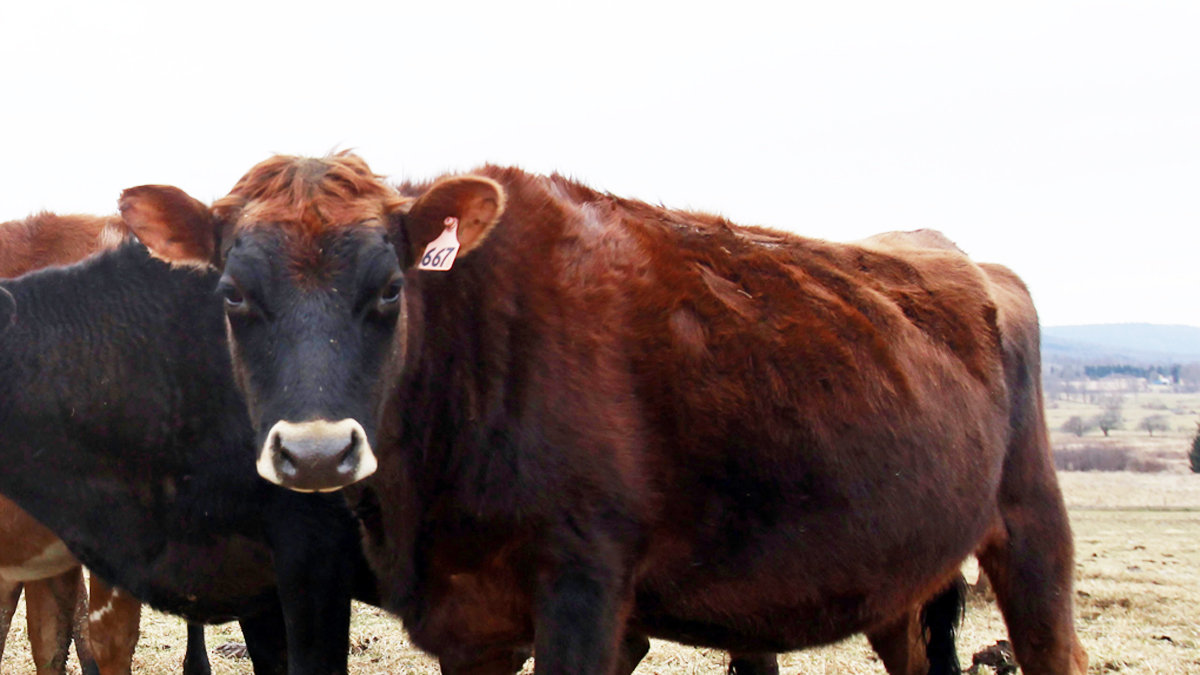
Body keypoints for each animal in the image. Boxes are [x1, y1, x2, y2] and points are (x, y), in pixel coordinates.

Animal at [118, 153, 1086, 675]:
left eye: (390, 289)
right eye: (234, 295)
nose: (316, 453)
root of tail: (961, 255)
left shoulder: (585, 588)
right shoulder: (472, 620)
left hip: (1032, 530)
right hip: (906, 580)